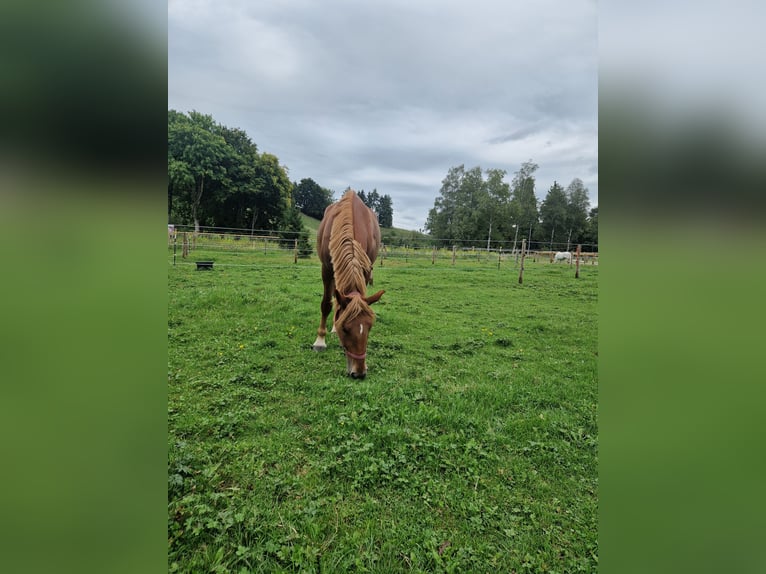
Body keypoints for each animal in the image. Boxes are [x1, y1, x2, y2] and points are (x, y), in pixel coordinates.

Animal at [312, 190, 385, 379]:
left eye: (370, 327)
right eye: (345, 329)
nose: (359, 372)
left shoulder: (365, 270)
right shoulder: (326, 269)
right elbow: (326, 304)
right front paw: (320, 340)